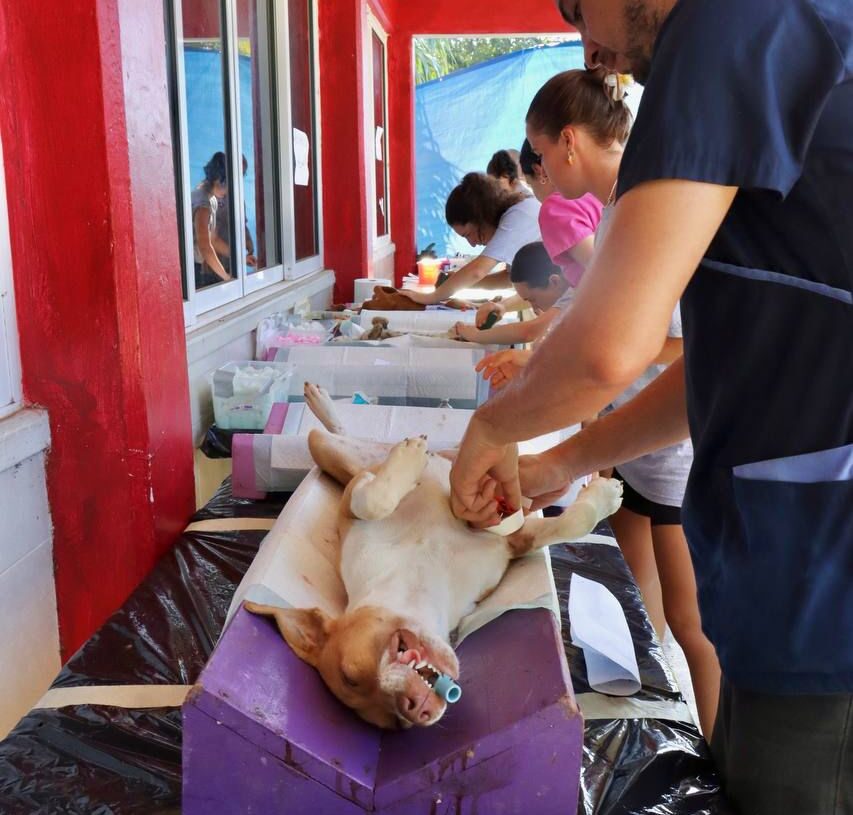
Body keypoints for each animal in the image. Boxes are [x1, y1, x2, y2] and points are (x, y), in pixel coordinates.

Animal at [246, 384, 623, 729]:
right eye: (398, 724)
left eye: (351, 672)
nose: (415, 707)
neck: (416, 581)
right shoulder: (514, 543)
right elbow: (569, 524)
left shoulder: (359, 503)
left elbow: (372, 500)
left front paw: (603, 496)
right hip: (328, 450)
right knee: (345, 438)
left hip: (328, 450)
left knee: (349, 438)